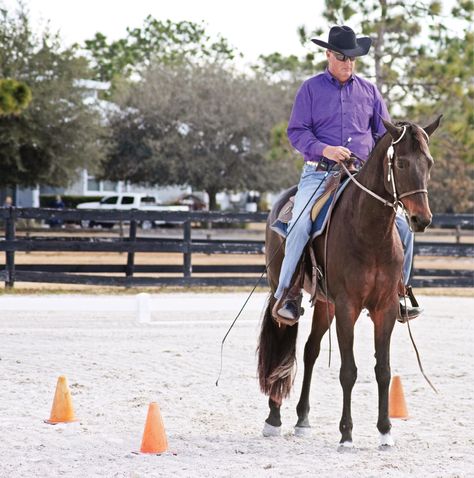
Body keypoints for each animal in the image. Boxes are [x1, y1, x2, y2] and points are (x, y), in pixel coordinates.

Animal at [260, 116, 440, 448]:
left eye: (429, 162)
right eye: (402, 163)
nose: (421, 219)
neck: (369, 232)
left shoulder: (384, 309)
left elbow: (383, 370)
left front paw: (385, 430)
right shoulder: (348, 307)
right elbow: (348, 371)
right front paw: (346, 433)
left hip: (324, 303)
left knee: (311, 350)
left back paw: (302, 419)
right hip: (287, 292)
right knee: (283, 344)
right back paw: (274, 418)